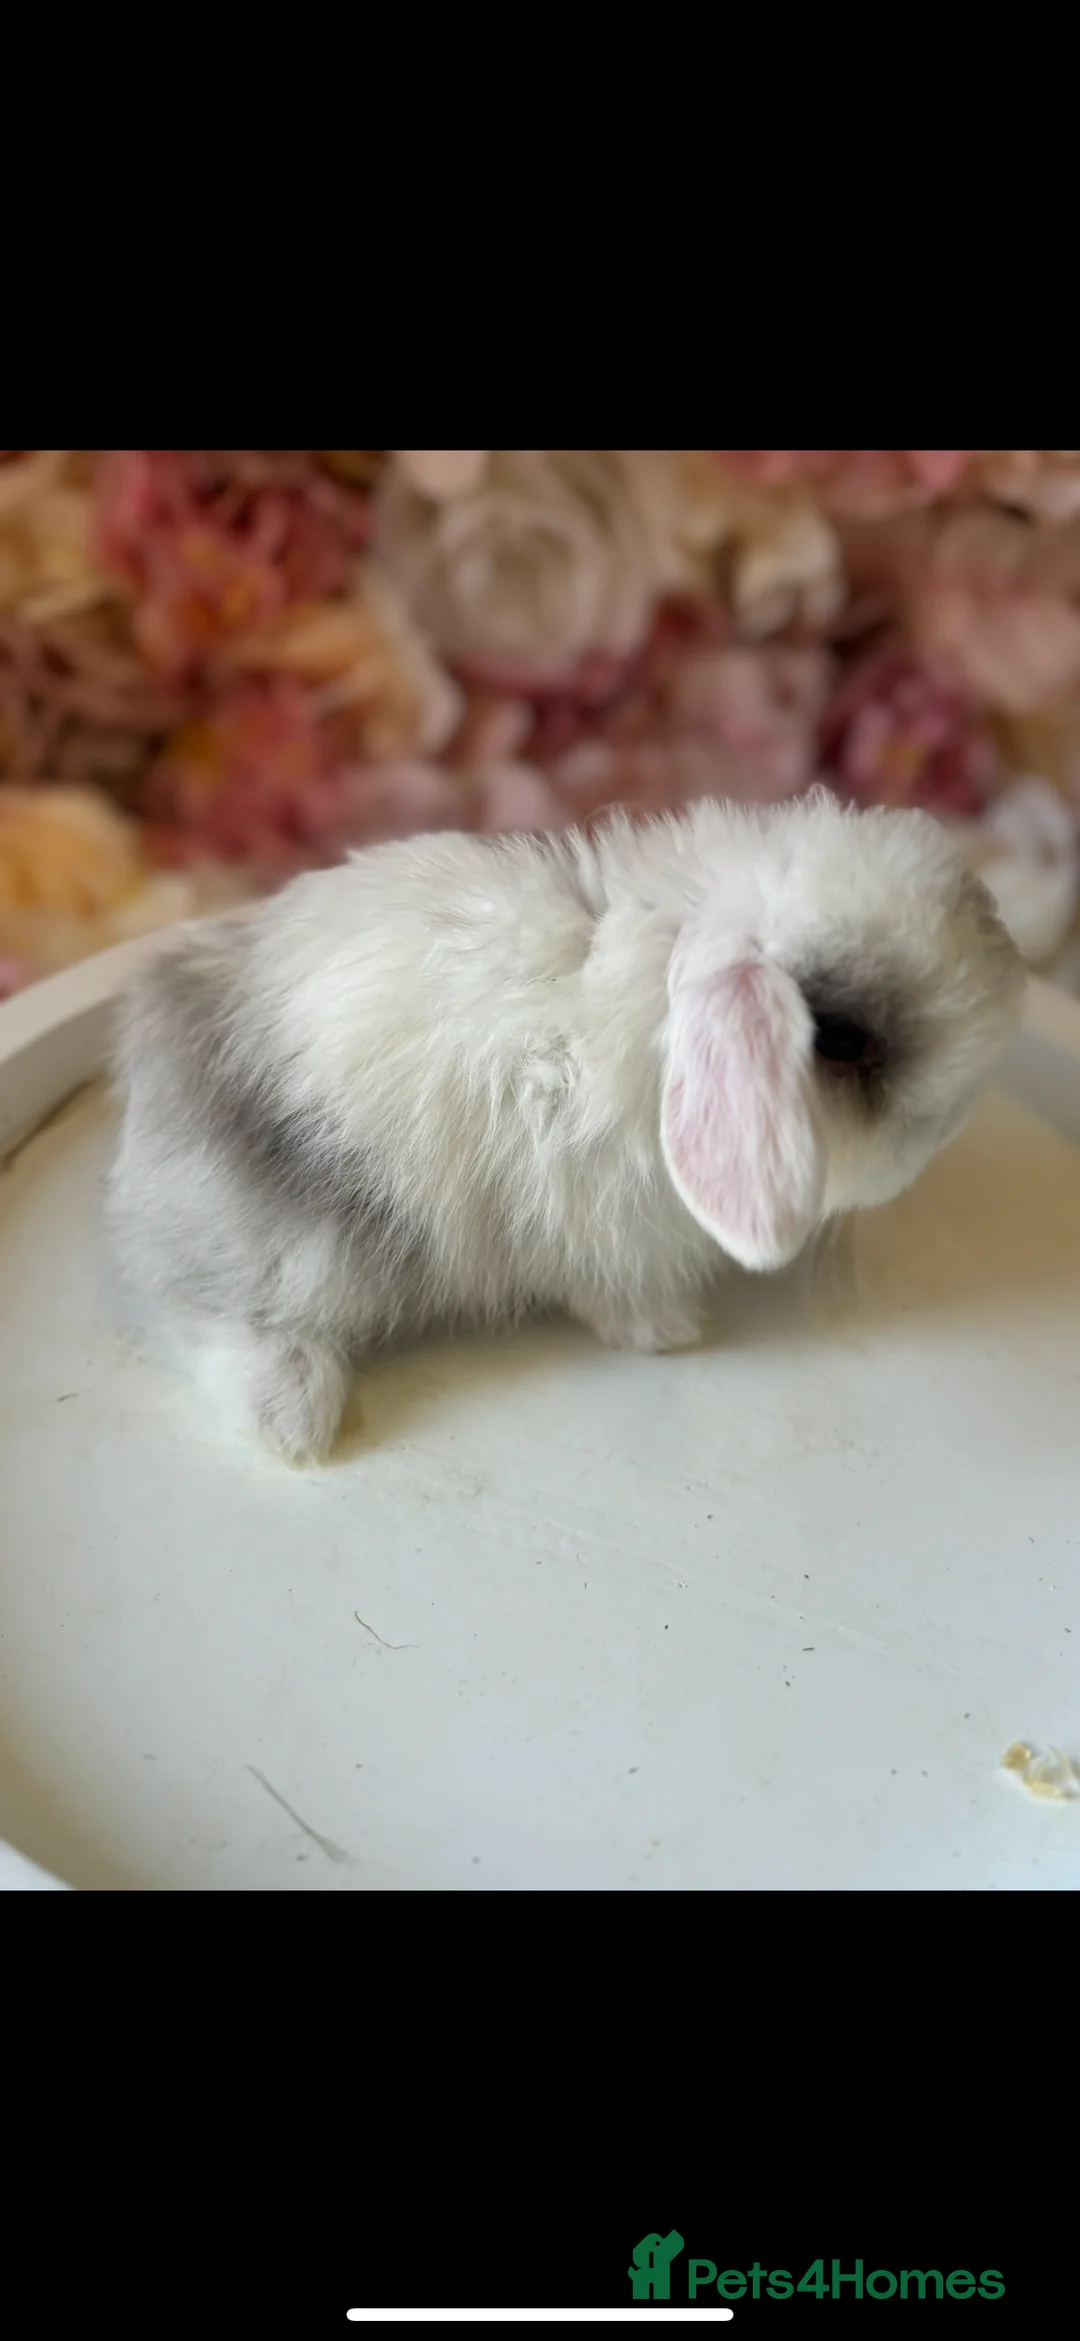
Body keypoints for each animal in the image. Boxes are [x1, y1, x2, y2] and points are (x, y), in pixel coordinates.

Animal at [104, 788, 1026, 1463]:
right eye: (840, 1038)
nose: (946, 1128)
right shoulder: (603, 1229)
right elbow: (618, 1292)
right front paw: (671, 1332)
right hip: (293, 1247)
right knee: (216, 1317)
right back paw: (295, 1422)